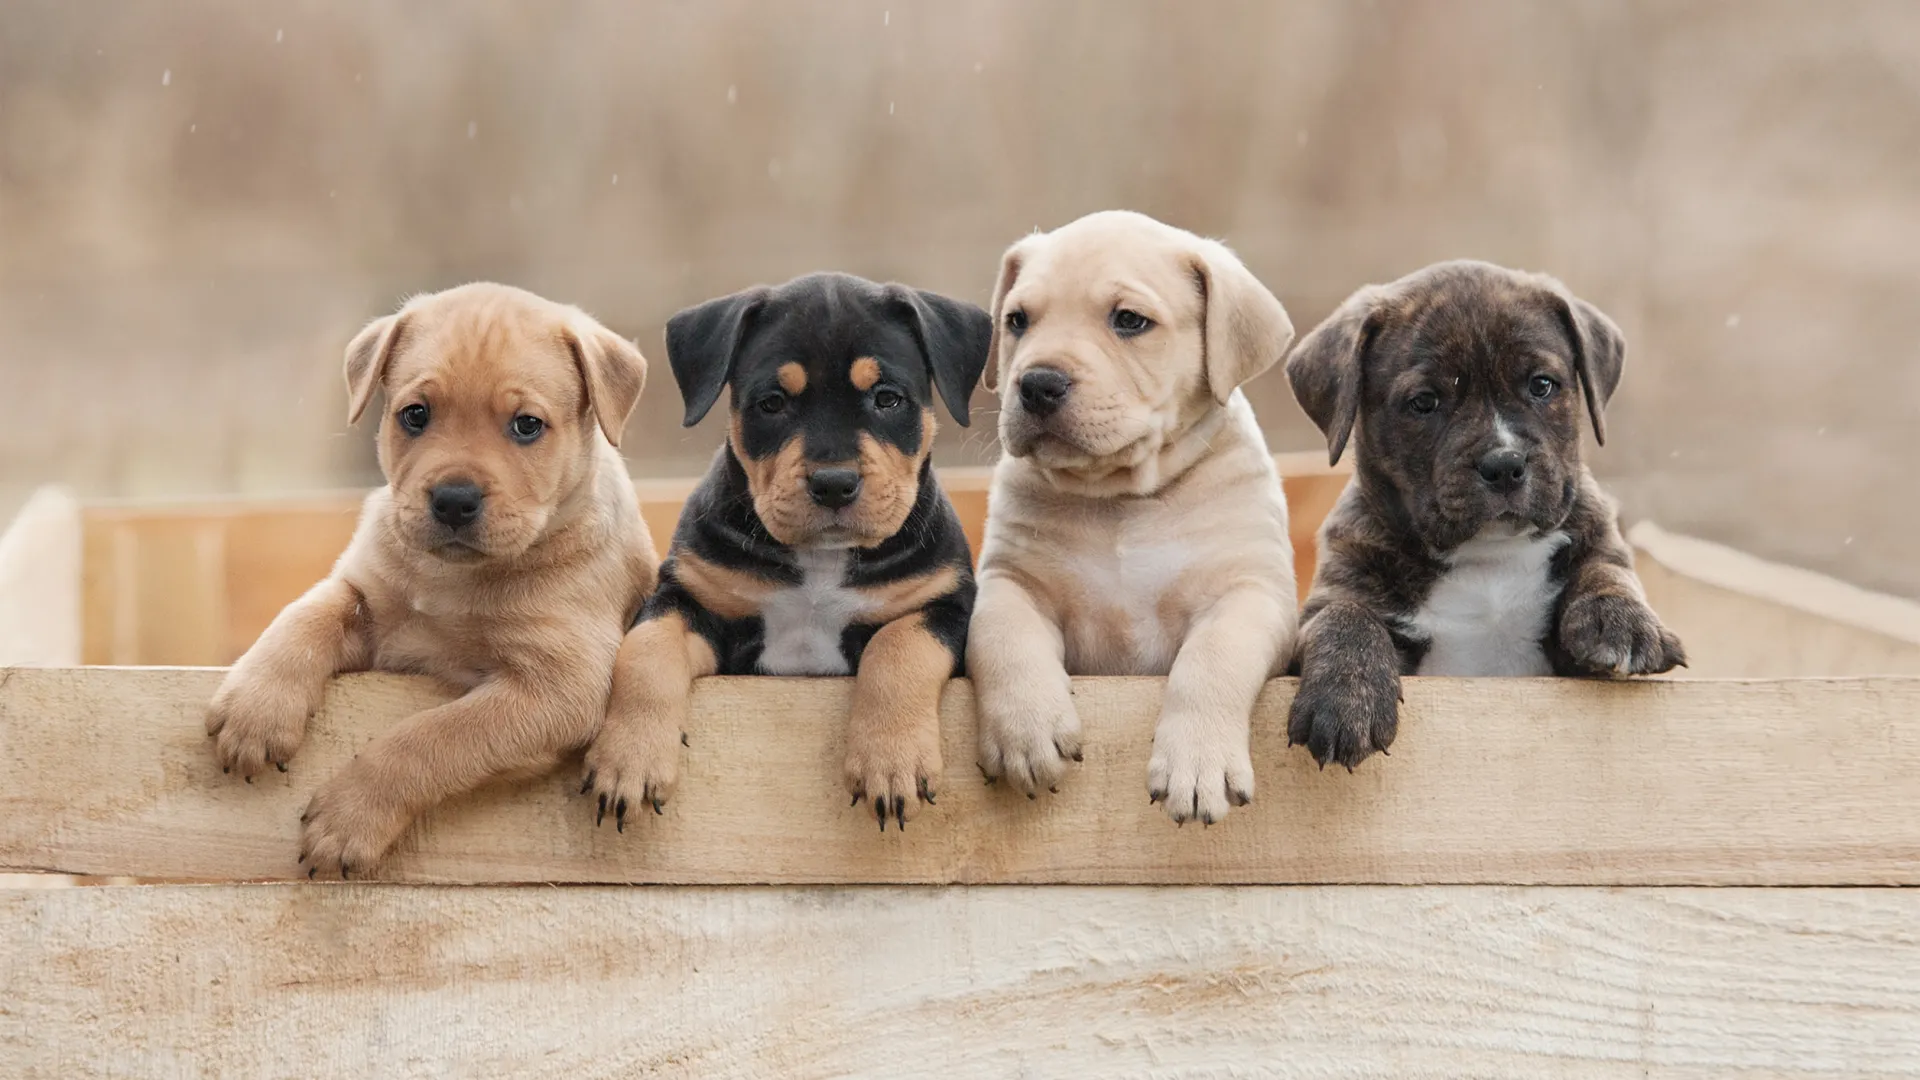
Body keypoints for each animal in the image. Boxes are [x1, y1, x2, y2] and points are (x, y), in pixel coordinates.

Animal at [201, 278, 652, 876]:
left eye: (527, 425)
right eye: (415, 415)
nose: (454, 500)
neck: (453, 580)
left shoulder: (558, 687)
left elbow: (431, 737)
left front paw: (350, 817)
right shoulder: (366, 599)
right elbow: (305, 615)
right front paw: (256, 708)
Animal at [579, 272, 990, 826]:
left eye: (887, 399)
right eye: (772, 403)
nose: (834, 484)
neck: (821, 560)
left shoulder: (945, 605)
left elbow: (898, 647)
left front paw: (891, 763)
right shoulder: (690, 603)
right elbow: (644, 652)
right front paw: (628, 761)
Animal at [967, 208, 1297, 822]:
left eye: (1129, 321)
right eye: (1017, 320)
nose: (1037, 382)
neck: (1121, 499)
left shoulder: (1250, 592)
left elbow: (1212, 659)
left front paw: (1198, 762)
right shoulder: (1010, 580)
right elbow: (1002, 636)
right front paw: (1026, 730)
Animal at [1282, 259, 1689, 764]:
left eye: (1542, 385)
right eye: (1424, 402)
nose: (1504, 464)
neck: (1487, 557)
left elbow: (1606, 570)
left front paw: (1623, 622)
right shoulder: (1333, 594)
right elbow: (1343, 616)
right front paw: (1343, 699)